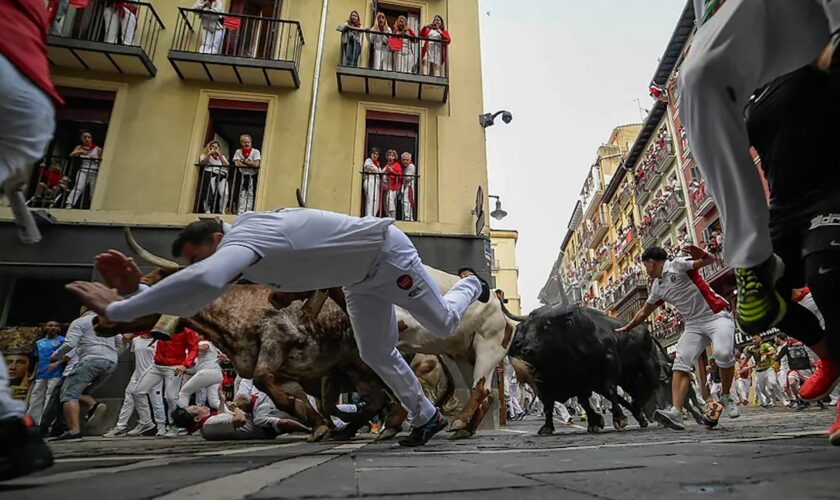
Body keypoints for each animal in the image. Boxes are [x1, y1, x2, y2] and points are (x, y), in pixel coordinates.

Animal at [502, 302, 692, 436]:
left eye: (547, 325)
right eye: (525, 327)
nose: (525, 350)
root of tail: (647, 332)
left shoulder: (607, 363)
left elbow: (608, 391)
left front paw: (618, 419)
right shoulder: (555, 382)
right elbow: (553, 404)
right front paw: (549, 427)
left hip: (648, 365)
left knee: (655, 386)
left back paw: (660, 415)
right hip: (628, 377)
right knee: (633, 395)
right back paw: (641, 416)